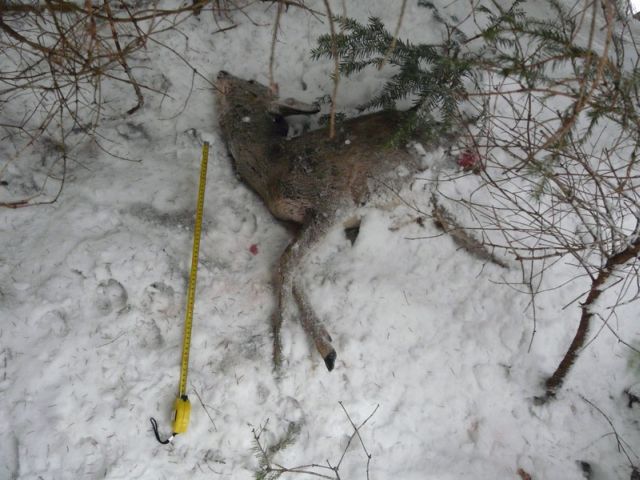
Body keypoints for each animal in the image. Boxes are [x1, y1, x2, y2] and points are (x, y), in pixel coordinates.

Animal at [216, 71, 430, 372]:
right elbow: (292, 268)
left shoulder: (333, 202)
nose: (221, 72)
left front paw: (281, 352)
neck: (270, 169)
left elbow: (285, 261)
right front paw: (323, 343)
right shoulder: (294, 222)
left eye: (249, 82)